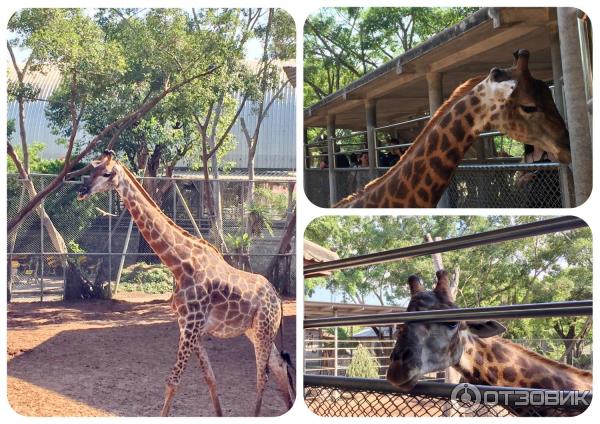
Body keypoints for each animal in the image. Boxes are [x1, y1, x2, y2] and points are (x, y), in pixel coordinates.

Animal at [76, 151, 294, 416]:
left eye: (107, 173)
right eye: (91, 169)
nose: (82, 190)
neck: (179, 265)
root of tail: (278, 298)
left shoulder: (191, 325)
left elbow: (173, 381)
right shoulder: (188, 327)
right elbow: (210, 378)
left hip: (263, 328)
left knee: (262, 375)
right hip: (255, 330)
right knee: (278, 364)